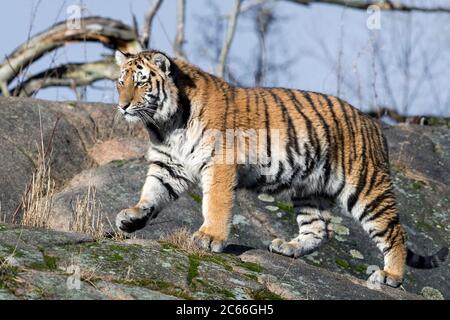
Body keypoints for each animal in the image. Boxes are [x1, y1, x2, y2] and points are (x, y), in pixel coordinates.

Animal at [113, 49, 446, 288]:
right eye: (120, 81)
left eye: (141, 81)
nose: (122, 106)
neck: (166, 124)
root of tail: (374, 124)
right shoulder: (168, 164)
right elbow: (152, 193)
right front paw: (131, 218)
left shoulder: (219, 163)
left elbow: (216, 203)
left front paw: (210, 237)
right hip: (310, 190)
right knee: (320, 230)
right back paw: (287, 247)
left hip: (366, 187)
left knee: (395, 231)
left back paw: (390, 276)